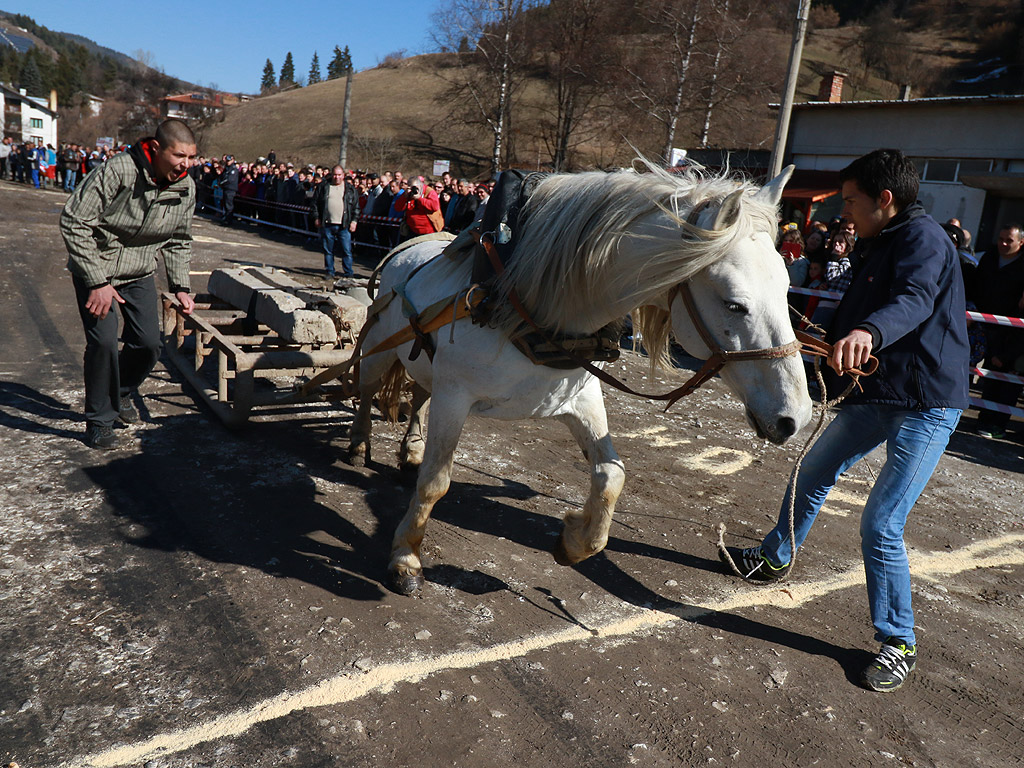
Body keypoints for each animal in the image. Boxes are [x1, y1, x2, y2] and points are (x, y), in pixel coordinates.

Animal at [348, 165, 811, 598]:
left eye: (788, 290)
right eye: (734, 305)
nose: (797, 416)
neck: (521, 303)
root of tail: (407, 248)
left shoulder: (580, 400)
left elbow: (611, 476)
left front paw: (574, 541)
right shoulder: (455, 397)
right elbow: (435, 482)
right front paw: (406, 559)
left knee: (418, 395)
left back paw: (409, 451)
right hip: (379, 350)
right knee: (366, 390)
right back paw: (357, 445)